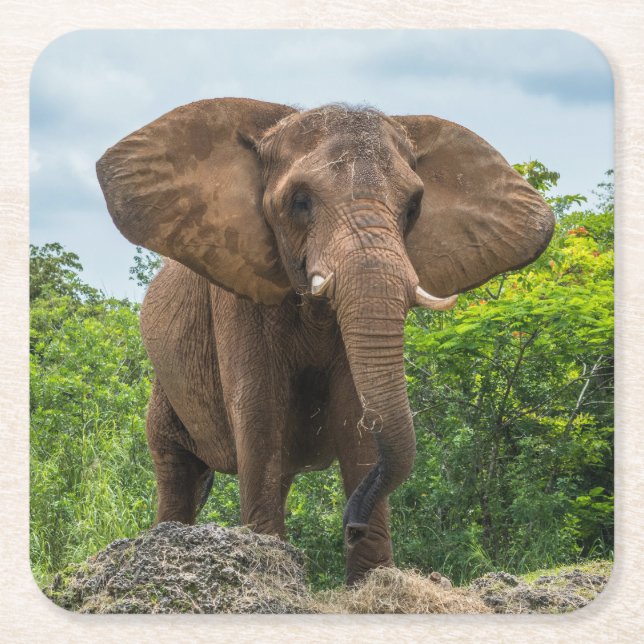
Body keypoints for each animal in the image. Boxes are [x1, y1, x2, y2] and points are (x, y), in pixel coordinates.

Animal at [96, 98, 554, 584]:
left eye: (413, 207)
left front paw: (370, 582)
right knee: (175, 468)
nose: (352, 525)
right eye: (300, 202)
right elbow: (259, 409)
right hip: (164, 386)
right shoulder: (238, 295)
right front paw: (271, 574)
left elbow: (358, 413)